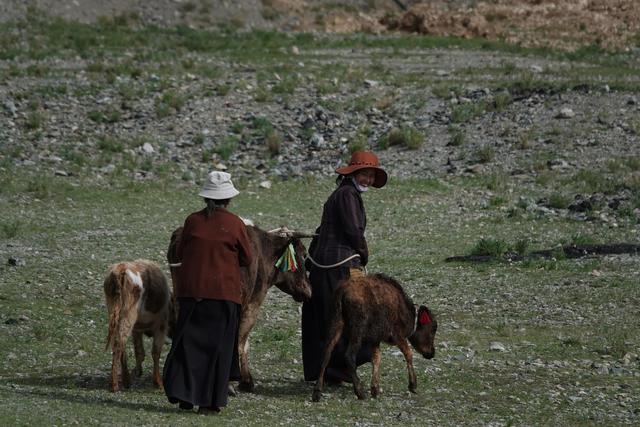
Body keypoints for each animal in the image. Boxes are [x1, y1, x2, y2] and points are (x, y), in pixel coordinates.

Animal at [104, 260, 175, 392]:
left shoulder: (137, 329)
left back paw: (126, 380)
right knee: (118, 343)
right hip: (128, 316)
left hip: (116, 313)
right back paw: (114, 385)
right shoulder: (161, 327)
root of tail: (122, 269)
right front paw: (158, 382)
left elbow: (139, 351)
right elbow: (155, 352)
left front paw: (137, 371)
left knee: (121, 344)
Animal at [312, 274, 438, 402]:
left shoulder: (375, 339)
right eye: (433, 328)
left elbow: (376, 358)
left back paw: (317, 392)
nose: (432, 353)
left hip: (335, 322)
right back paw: (359, 391)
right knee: (349, 356)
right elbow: (408, 354)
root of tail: (341, 293)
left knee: (326, 354)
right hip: (357, 330)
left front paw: (375, 388)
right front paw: (412, 385)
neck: (408, 316)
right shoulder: (397, 334)